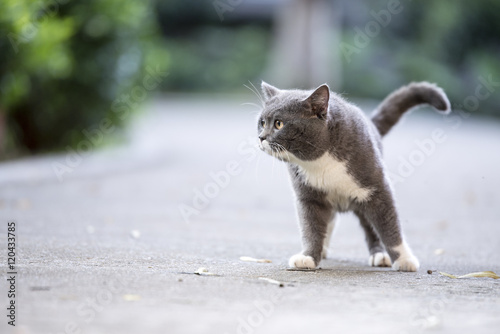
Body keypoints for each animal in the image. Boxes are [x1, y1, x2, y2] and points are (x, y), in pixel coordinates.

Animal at [258, 81, 450, 272]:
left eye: (279, 124)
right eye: (262, 122)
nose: (261, 137)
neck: (321, 160)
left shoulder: (377, 188)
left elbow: (389, 225)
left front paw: (404, 260)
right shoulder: (308, 195)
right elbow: (311, 227)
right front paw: (308, 257)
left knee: (370, 227)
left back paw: (380, 255)